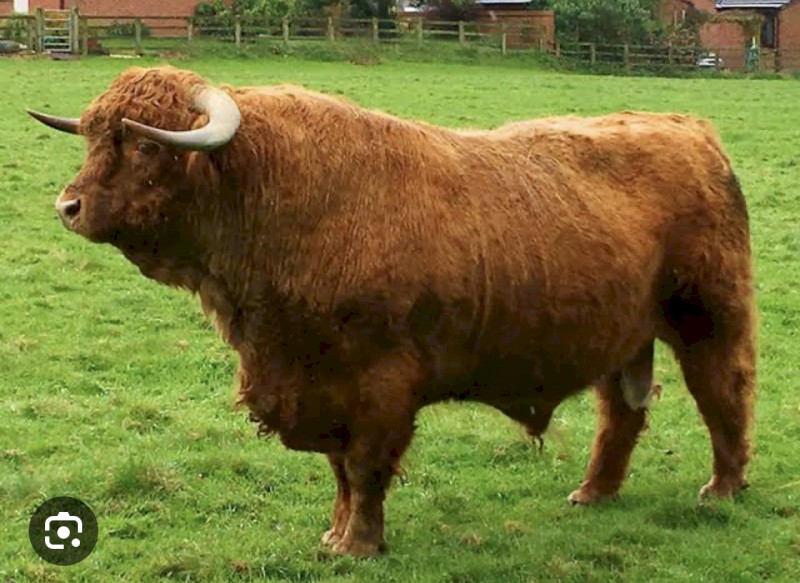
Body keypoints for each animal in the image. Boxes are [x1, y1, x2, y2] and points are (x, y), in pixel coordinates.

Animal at [28, 65, 757, 558]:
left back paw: (723, 488)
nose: (69, 206)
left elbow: (365, 466)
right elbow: (339, 469)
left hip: (708, 316)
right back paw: (593, 491)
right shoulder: (317, 386)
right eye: (91, 137)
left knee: (724, 394)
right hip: (620, 336)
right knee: (623, 414)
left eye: (147, 144)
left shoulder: (381, 384)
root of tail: (692, 131)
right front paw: (334, 534)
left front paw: (359, 544)